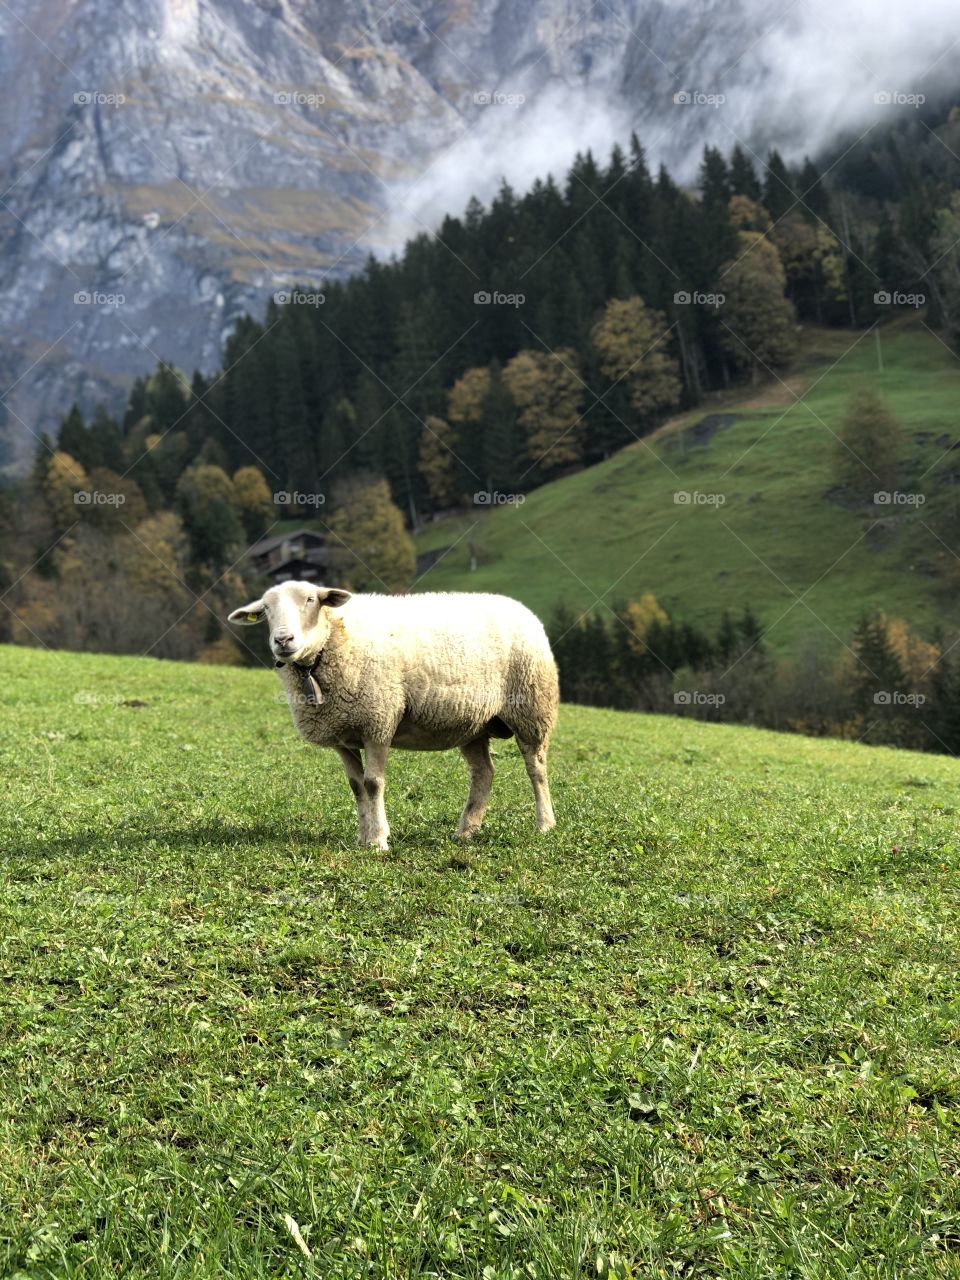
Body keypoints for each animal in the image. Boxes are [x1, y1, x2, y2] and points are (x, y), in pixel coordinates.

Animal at [228, 581, 559, 850]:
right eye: (266, 609)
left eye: (311, 599)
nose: (283, 640)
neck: (327, 647)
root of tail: (521, 608)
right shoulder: (342, 735)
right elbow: (356, 785)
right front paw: (363, 838)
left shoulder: (378, 722)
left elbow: (373, 783)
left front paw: (378, 840)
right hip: (473, 723)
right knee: (483, 773)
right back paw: (466, 830)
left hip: (532, 708)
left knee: (536, 769)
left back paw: (544, 824)